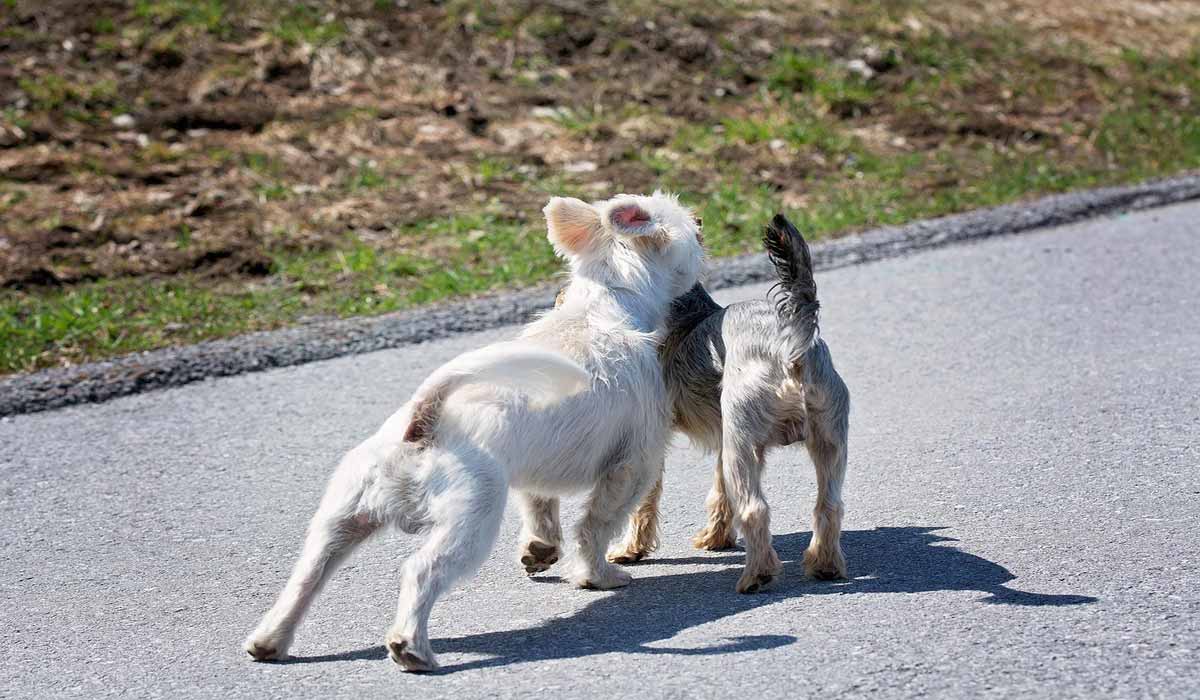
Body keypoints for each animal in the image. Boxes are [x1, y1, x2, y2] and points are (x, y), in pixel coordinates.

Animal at [242, 192, 700, 672]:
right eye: (696, 230)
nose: (704, 221)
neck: (605, 305)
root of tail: (423, 422)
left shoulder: (536, 472)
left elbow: (540, 509)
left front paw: (541, 549)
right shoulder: (631, 466)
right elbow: (596, 526)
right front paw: (598, 576)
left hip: (342, 518)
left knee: (307, 577)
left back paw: (270, 641)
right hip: (468, 524)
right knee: (421, 571)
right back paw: (411, 647)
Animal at [535, 213, 854, 590]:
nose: (557, 299)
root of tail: (790, 345)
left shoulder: (653, 438)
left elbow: (645, 500)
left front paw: (630, 549)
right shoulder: (722, 436)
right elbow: (720, 493)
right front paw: (716, 538)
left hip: (743, 438)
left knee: (755, 508)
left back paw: (756, 575)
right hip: (826, 434)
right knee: (829, 505)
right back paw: (824, 565)